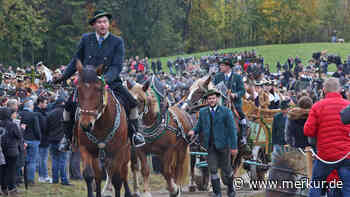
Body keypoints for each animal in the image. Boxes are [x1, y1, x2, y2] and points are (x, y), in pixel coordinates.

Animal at [73, 60, 132, 197]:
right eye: (78, 89)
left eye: (98, 89)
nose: (86, 125)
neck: (100, 125)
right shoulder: (85, 149)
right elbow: (89, 175)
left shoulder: (118, 152)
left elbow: (117, 180)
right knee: (99, 176)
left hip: (126, 152)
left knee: (124, 173)